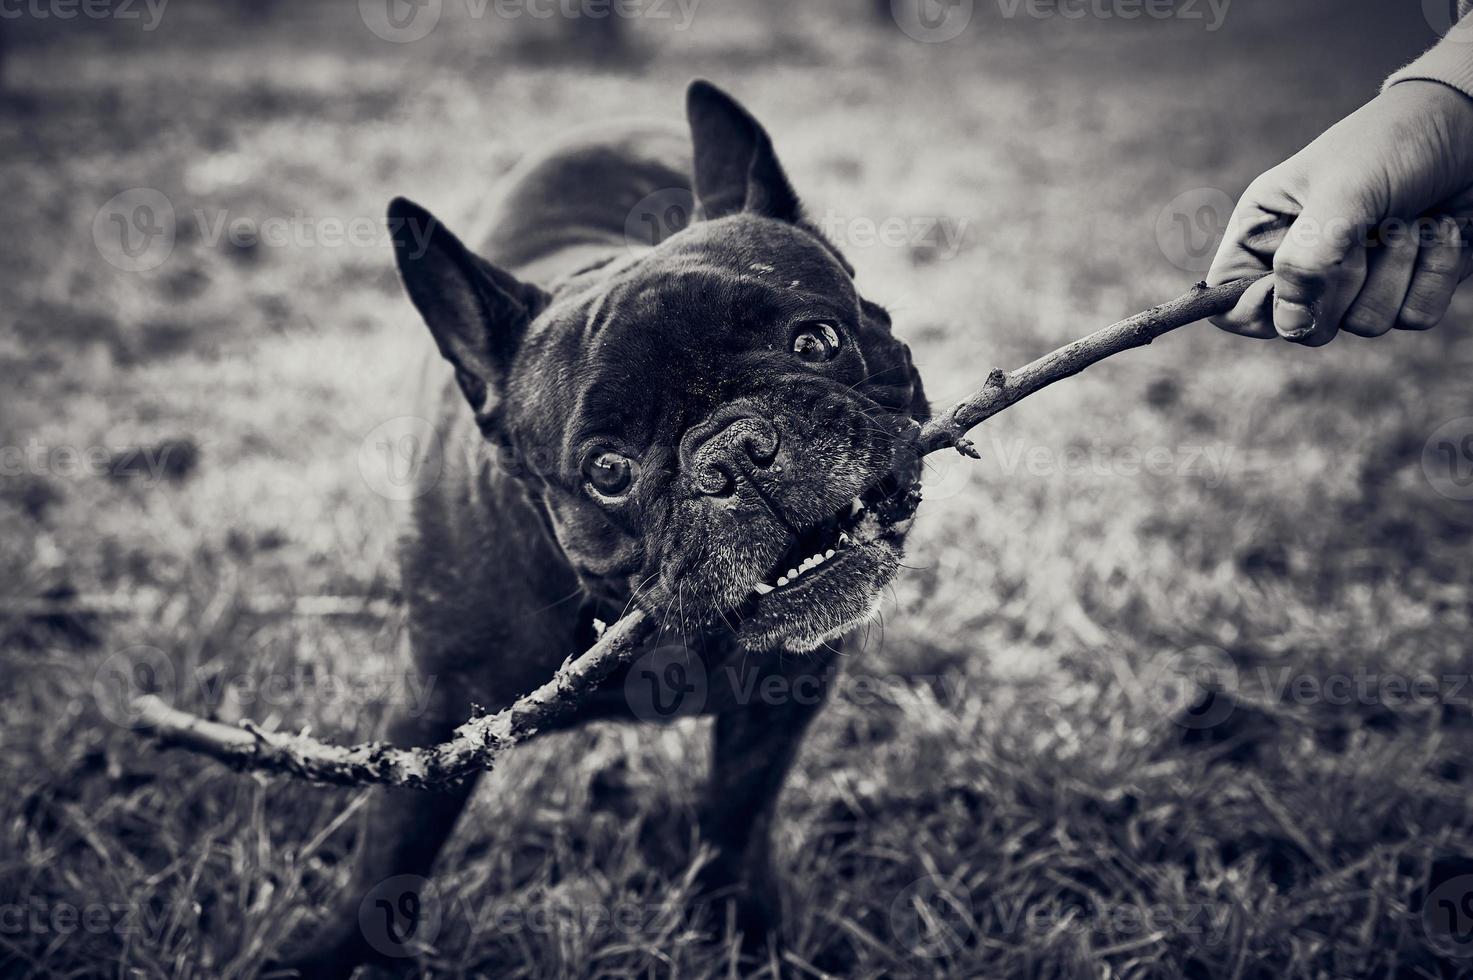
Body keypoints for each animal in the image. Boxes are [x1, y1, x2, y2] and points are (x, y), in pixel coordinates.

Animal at [282, 80, 925, 972]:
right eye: (607, 471)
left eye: (817, 341)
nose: (737, 451)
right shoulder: (434, 716)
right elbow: (392, 849)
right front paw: (338, 952)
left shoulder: (779, 701)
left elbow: (736, 819)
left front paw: (743, 931)